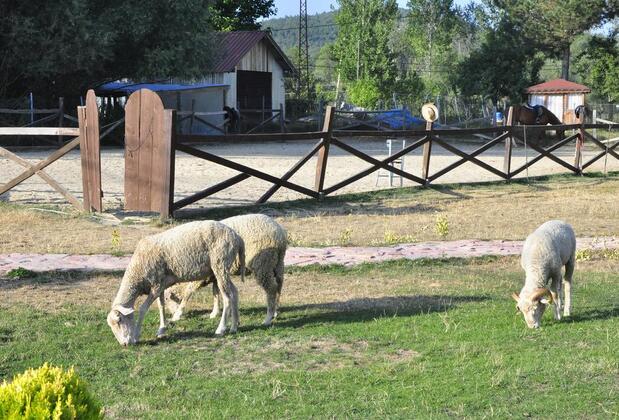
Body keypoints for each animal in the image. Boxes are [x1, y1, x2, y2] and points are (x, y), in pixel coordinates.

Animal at [106, 220, 245, 344]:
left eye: (119, 320)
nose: (124, 344)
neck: (137, 272)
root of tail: (237, 237)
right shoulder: (160, 284)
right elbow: (161, 306)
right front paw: (161, 330)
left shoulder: (156, 286)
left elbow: (143, 309)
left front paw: (136, 335)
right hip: (223, 269)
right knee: (234, 292)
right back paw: (234, 326)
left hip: (220, 264)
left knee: (227, 297)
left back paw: (221, 329)